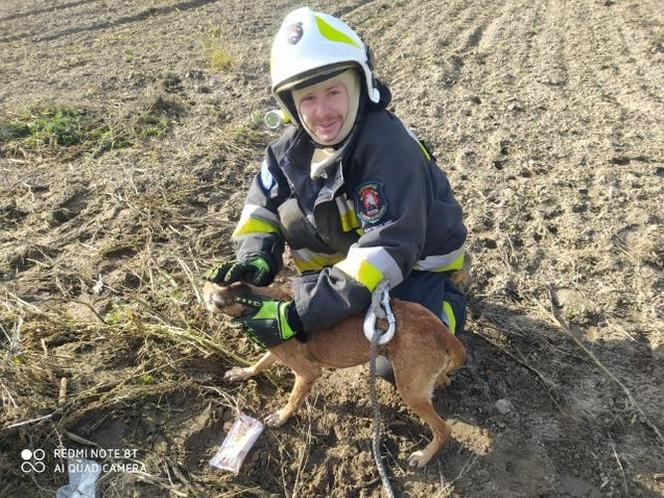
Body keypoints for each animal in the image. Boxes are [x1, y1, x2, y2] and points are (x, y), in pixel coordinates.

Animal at [202, 272, 466, 466]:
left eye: (212, 298)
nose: (203, 284)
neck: (261, 303)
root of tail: (444, 335)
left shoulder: (306, 373)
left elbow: (293, 399)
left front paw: (281, 416)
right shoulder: (275, 349)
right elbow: (259, 363)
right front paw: (243, 372)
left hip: (410, 391)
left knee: (444, 430)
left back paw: (423, 456)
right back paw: (443, 379)